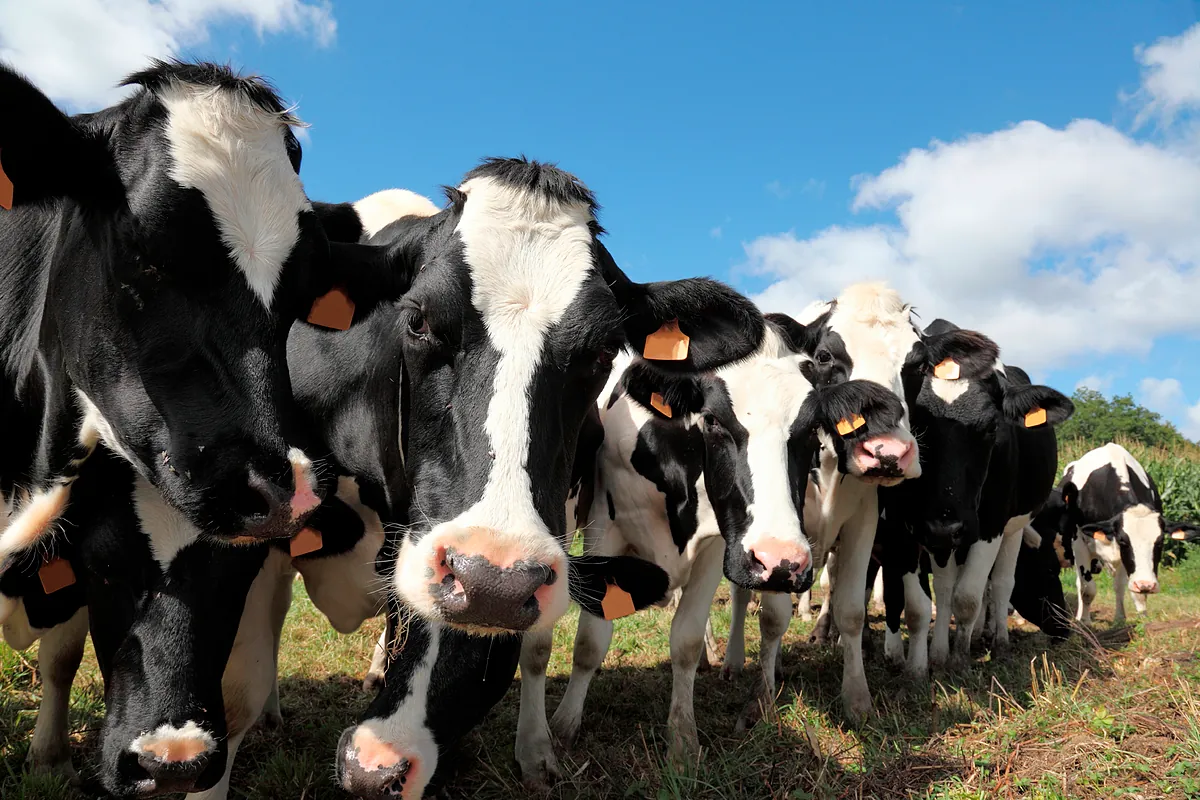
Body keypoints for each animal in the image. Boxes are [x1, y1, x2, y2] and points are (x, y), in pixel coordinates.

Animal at [873, 319, 1073, 678]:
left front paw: (960, 657)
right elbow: (943, 592)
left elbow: (968, 596)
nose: (1065, 629)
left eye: (993, 427)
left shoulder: (988, 525)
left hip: (1014, 528)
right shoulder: (921, 526)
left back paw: (997, 640)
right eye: (915, 425)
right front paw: (938, 654)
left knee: (1001, 583)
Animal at [1055, 443, 1193, 624]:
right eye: (1124, 541)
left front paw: (1126, 620)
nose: (1146, 584)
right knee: (1080, 583)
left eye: (1160, 542)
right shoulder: (1079, 542)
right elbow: (1087, 589)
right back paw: (1080, 617)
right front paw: (1084, 622)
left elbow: (1124, 589)